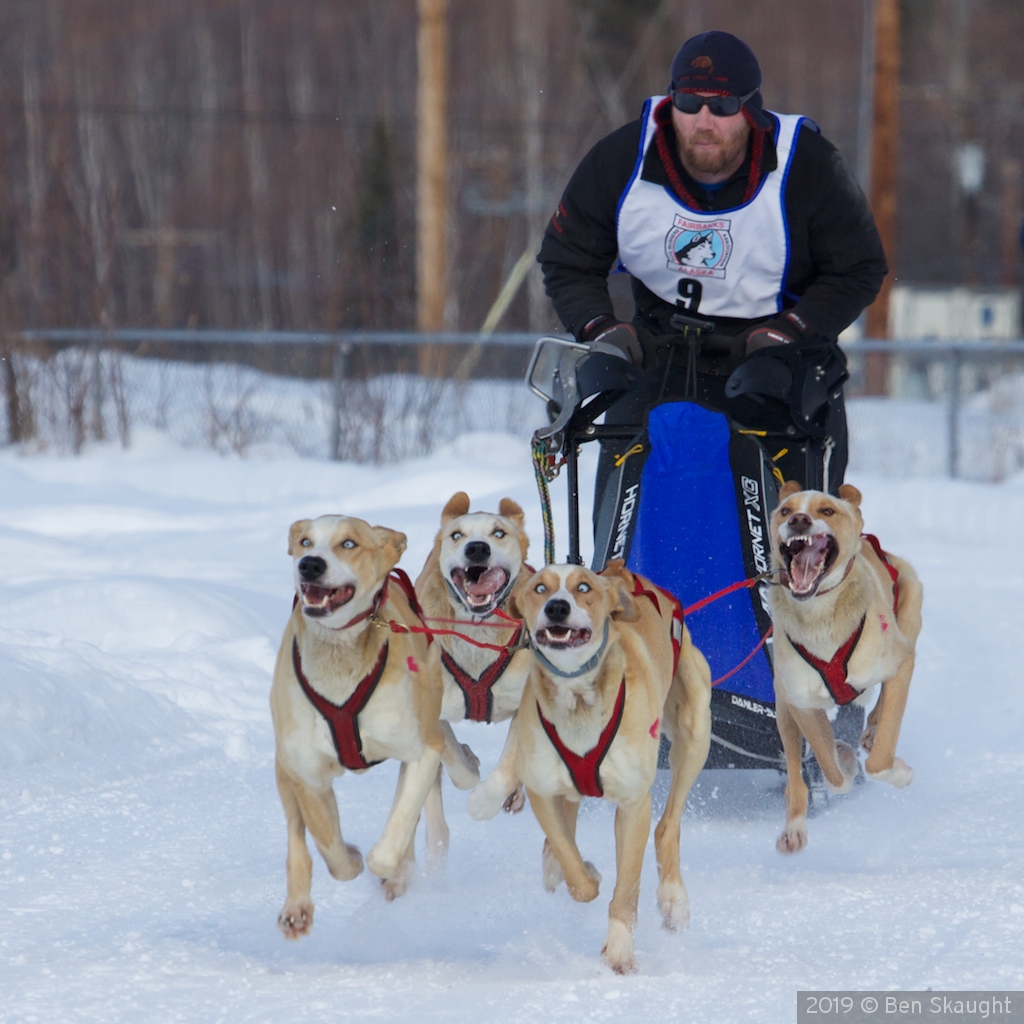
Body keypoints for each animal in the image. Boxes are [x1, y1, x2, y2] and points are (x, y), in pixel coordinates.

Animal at [272, 512, 479, 937]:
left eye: (348, 543)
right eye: (304, 542)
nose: (309, 565)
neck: (340, 659)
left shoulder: (420, 752)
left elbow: (391, 842)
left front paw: (390, 871)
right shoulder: (307, 775)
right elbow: (330, 847)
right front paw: (351, 857)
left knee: (452, 770)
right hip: (283, 770)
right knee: (297, 840)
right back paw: (297, 905)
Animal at [413, 493, 536, 823]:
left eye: (499, 533)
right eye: (457, 535)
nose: (477, 547)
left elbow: (512, 764)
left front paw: (484, 801)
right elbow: (456, 762)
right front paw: (468, 762)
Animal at [512, 565, 712, 970]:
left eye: (583, 587)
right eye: (539, 588)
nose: (557, 607)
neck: (578, 697)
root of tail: (627, 573)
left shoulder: (633, 805)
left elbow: (627, 891)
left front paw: (619, 953)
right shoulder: (542, 789)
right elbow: (571, 863)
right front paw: (582, 872)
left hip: (694, 731)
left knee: (667, 828)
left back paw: (674, 901)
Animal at [770, 483, 929, 851]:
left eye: (827, 511)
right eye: (785, 511)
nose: (799, 520)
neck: (820, 618)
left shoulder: (901, 664)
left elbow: (880, 760)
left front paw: (899, 772)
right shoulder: (801, 703)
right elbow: (832, 773)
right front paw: (842, 758)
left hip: (909, 614)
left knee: (881, 705)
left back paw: (870, 732)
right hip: (782, 704)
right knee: (795, 772)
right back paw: (794, 825)